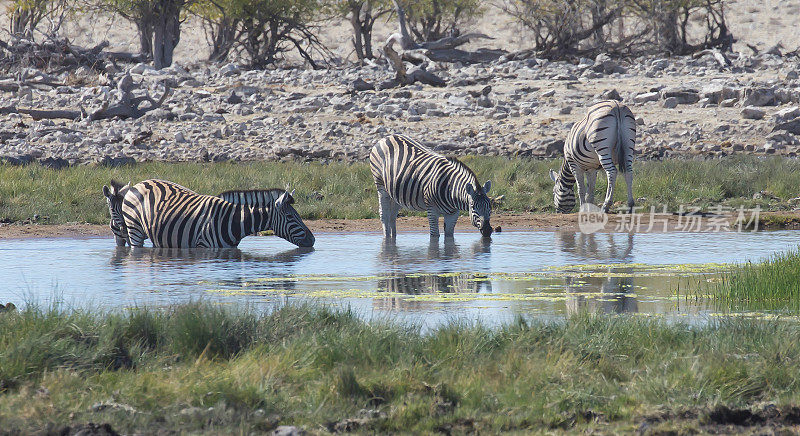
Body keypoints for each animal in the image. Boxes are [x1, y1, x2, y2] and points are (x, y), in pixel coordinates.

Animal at [108, 179, 312, 249]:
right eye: (291, 217)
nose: (313, 240)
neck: (234, 220)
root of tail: (139, 183)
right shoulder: (204, 246)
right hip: (134, 229)